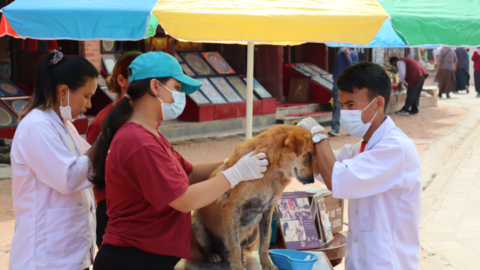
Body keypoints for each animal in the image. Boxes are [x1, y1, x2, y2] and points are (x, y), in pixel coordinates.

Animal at [191, 125, 316, 270]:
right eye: (309, 154)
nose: (312, 180)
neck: (271, 173)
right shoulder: (232, 209)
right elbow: (234, 245)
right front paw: (237, 267)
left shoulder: (268, 210)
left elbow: (264, 245)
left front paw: (267, 264)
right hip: (197, 225)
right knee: (211, 248)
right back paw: (213, 254)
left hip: (255, 230)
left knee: (242, 247)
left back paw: (241, 256)